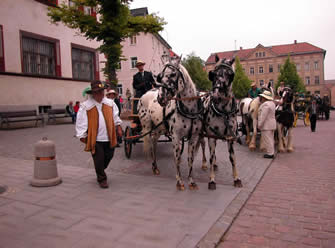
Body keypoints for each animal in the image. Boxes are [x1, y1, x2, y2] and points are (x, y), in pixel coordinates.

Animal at [201, 55, 243, 189]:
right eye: (212, 74)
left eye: (230, 74)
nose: (216, 96)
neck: (223, 112)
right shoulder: (211, 136)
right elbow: (211, 156)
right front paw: (212, 180)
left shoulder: (230, 137)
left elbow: (232, 158)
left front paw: (236, 179)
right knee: (204, 147)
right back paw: (204, 164)